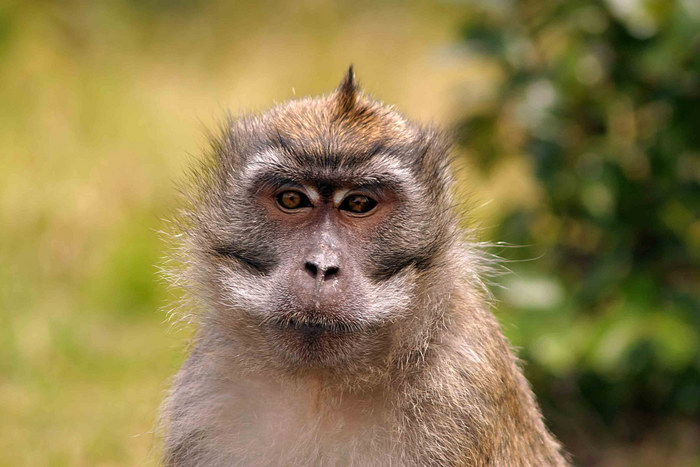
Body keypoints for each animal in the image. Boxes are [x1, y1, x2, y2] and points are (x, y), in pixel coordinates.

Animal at [160, 66, 568, 467]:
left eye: (358, 204)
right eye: (292, 199)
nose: (322, 267)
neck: (320, 386)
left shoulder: (462, 394)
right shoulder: (207, 395)